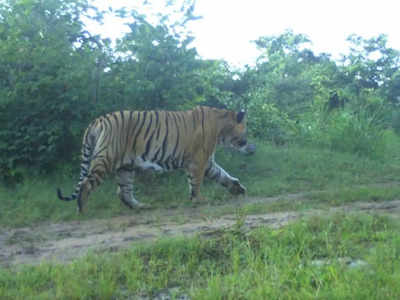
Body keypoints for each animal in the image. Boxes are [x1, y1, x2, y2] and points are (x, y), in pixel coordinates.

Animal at [56, 105, 255, 213]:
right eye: (245, 129)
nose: (252, 147)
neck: (221, 129)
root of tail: (97, 121)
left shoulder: (207, 162)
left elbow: (222, 175)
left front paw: (238, 188)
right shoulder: (198, 160)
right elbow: (197, 182)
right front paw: (199, 200)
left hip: (126, 167)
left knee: (123, 191)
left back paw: (141, 206)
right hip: (106, 159)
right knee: (86, 184)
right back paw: (82, 210)